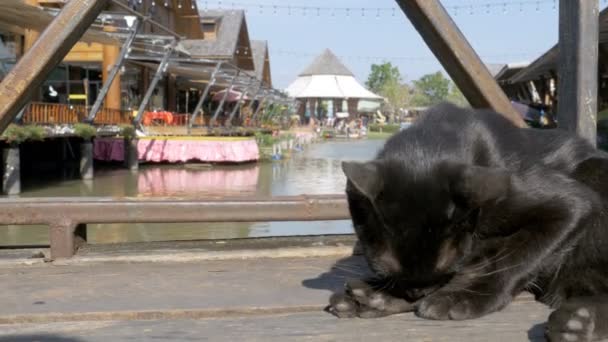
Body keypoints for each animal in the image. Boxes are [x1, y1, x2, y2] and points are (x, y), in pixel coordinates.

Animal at [328, 103, 608, 340]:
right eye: (386, 270)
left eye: (446, 270)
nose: (417, 292)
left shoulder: (573, 204)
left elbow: (517, 258)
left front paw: (465, 296)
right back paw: (371, 297)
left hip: (594, 171)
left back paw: (581, 322)